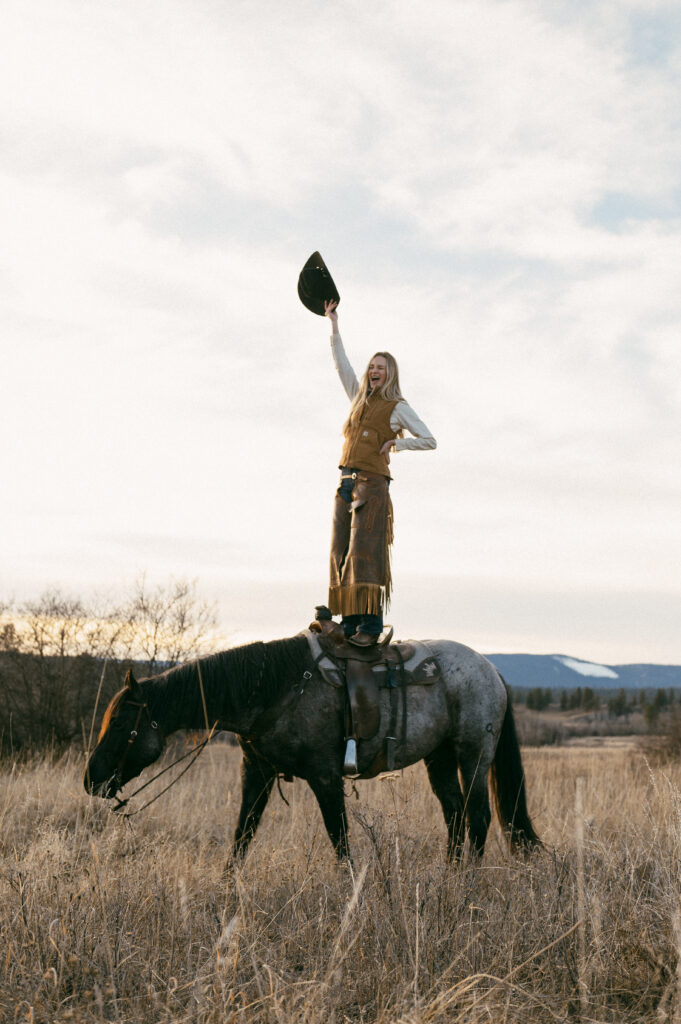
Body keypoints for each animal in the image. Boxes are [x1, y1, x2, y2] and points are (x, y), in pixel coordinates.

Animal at [84, 630, 540, 864]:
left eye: (121, 724)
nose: (91, 780)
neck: (277, 689)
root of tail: (490, 668)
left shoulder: (325, 777)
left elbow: (340, 843)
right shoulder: (256, 773)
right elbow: (242, 837)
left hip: (473, 754)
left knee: (478, 817)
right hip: (439, 759)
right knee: (455, 817)